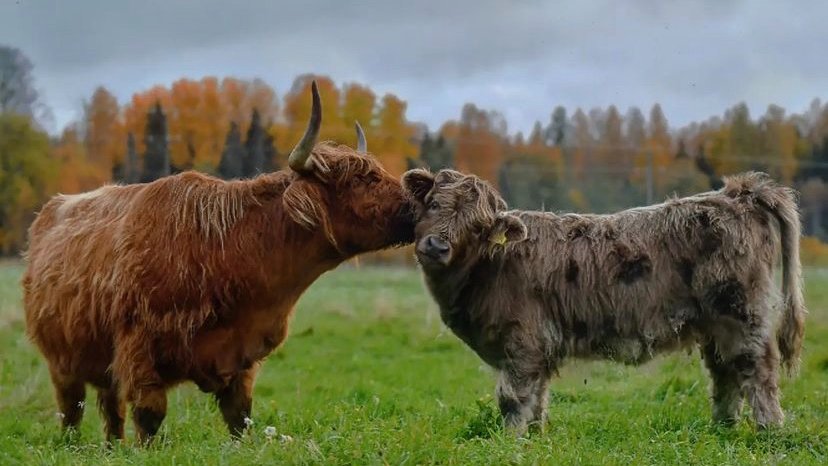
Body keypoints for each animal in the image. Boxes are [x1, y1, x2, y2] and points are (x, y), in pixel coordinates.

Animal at [22, 81, 415, 443]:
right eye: (362, 179)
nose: (413, 203)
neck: (226, 254)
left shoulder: (242, 361)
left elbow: (240, 418)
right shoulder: (139, 351)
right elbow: (149, 419)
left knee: (109, 409)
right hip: (61, 363)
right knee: (72, 410)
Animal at [402, 168, 806, 435]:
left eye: (477, 227)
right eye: (434, 204)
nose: (436, 246)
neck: (490, 268)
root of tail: (734, 193)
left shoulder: (522, 343)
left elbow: (513, 398)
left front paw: (509, 442)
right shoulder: (538, 350)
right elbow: (538, 398)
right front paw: (535, 437)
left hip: (742, 314)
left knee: (756, 371)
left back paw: (769, 431)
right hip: (714, 323)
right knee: (725, 374)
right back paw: (722, 429)